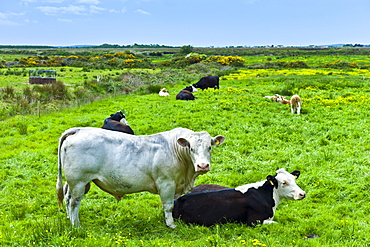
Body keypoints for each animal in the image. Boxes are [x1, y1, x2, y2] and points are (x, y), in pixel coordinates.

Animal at [57, 126, 225, 229]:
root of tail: (79, 130)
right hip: (79, 181)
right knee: (74, 202)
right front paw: (171, 224)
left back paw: (69, 219)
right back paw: (77, 226)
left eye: (210, 147)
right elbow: (169, 206)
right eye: (191, 148)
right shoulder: (166, 183)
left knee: (67, 197)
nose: (202, 166)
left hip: (77, 183)